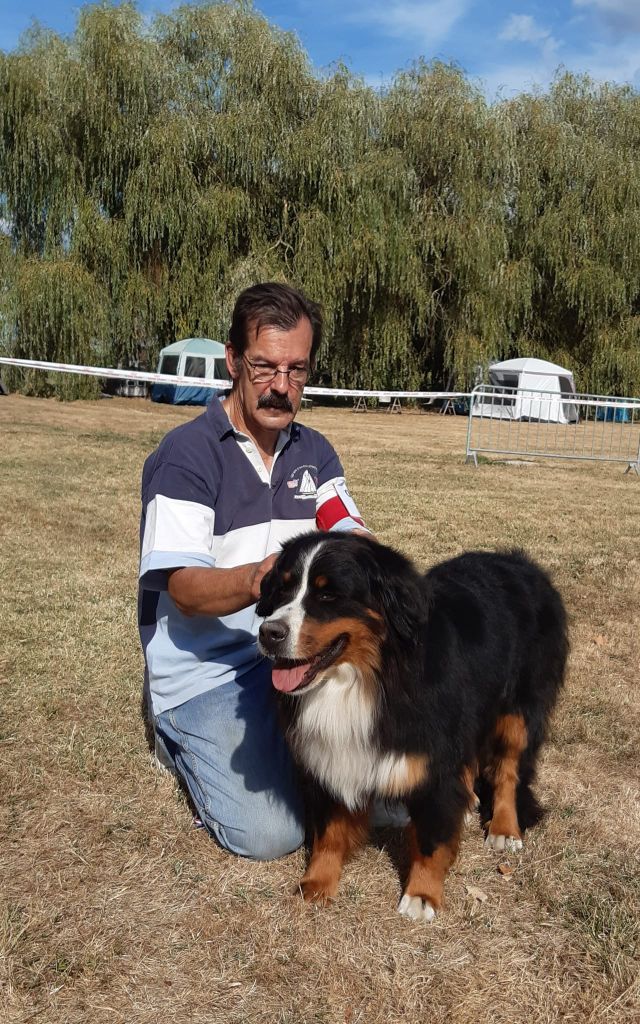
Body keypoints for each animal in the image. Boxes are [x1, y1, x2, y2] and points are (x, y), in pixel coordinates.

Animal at [256, 533, 568, 922]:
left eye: (328, 595)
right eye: (282, 589)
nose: (268, 633)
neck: (368, 677)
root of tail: (521, 562)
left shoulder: (434, 760)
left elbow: (431, 838)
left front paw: (422, 895)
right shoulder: (330, 756)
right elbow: (329, 830)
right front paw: (317, 883)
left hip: (518, 712)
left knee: (508, 771)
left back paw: (504, 828)